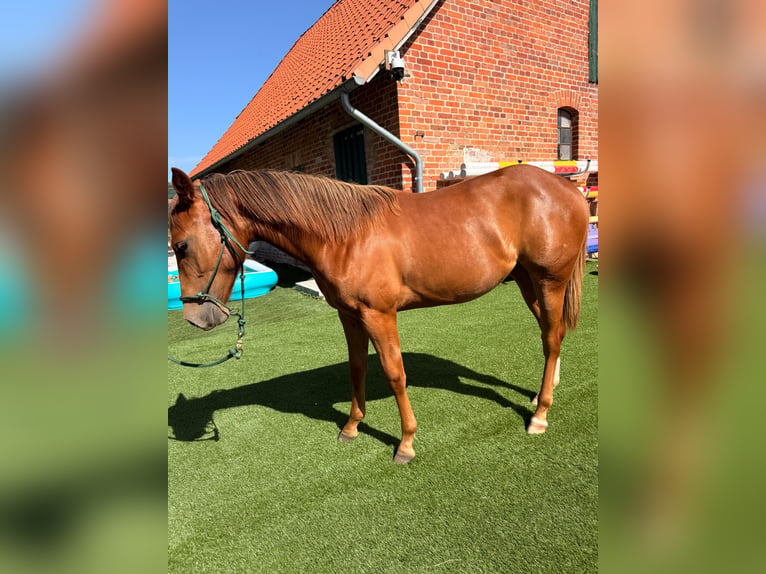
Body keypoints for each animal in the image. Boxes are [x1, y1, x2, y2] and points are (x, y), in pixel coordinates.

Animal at [168, 165, 589, 463]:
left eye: (181, 245)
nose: (195, 318)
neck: (345, 235)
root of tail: (569, 188)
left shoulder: (380, 315)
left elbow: (394, 373)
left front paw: (406, 443)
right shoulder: (349, 315)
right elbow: (358, 368)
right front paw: (352, 426)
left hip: (550, 280)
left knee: (552, 337)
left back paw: (540, 414)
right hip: (525, 280)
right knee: (549, 334)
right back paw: (543, 393)